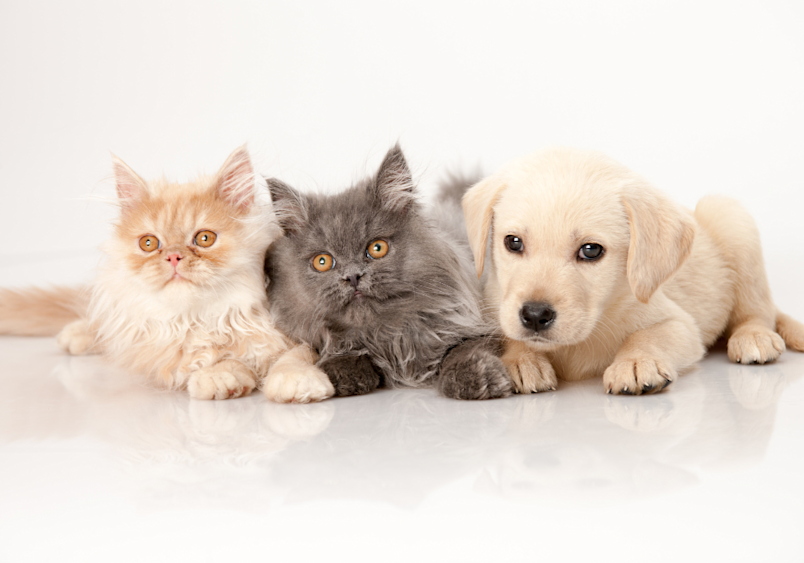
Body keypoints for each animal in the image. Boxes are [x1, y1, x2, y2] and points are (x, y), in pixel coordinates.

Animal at [266, 145, 512, 400]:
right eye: (322, 261)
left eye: (377, 248)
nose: (353, 276)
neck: (390, 338)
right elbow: (341, 350)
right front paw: (345, 373)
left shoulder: (476, 323)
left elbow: (463, 349)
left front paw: (476, 379)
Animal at [462, 148, 804, 398]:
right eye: (513, 242)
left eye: (591, 250)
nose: (534, 315)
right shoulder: (494, 305)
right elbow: (506, 335)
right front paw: (521, 359)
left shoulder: (680, 324)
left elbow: (648, 334)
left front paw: (637, 361)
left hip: (733, 219)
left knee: (757, 310)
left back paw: (754, 336)